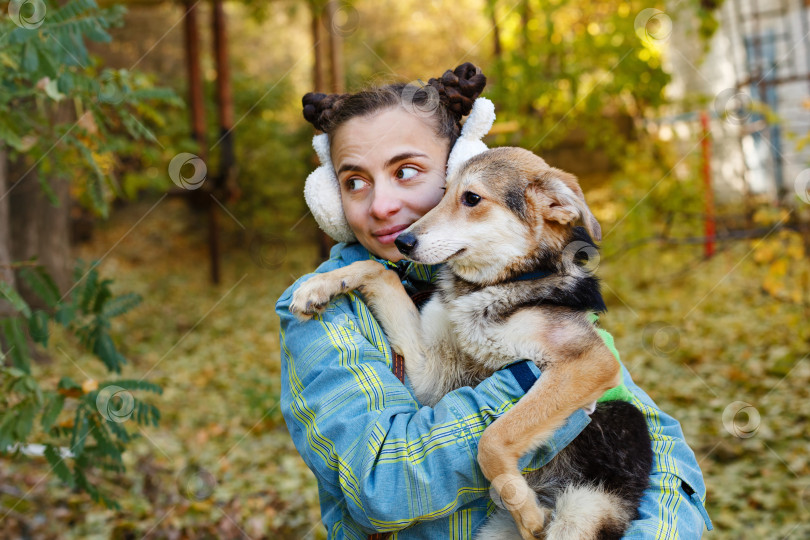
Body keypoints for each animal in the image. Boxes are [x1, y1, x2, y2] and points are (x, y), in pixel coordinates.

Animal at [288, 148, 652, 540]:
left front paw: (526, 511)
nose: (402, 241)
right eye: (443, 191)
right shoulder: (430, 371)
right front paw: (319, 286)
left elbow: (493, 438)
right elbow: (379, 271)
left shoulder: (590, 360)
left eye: (472, 198)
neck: (490, 286)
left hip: (582, 509)